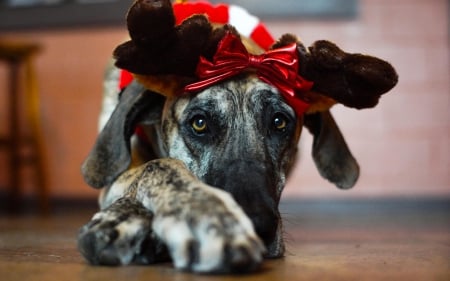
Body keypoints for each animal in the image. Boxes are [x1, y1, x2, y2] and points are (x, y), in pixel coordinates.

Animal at [77, 0, 398, 272]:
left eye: (279, 122)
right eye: (200, 123)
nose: (258, 226)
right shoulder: (117, 172)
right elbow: (158, 165)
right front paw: (205, 216)